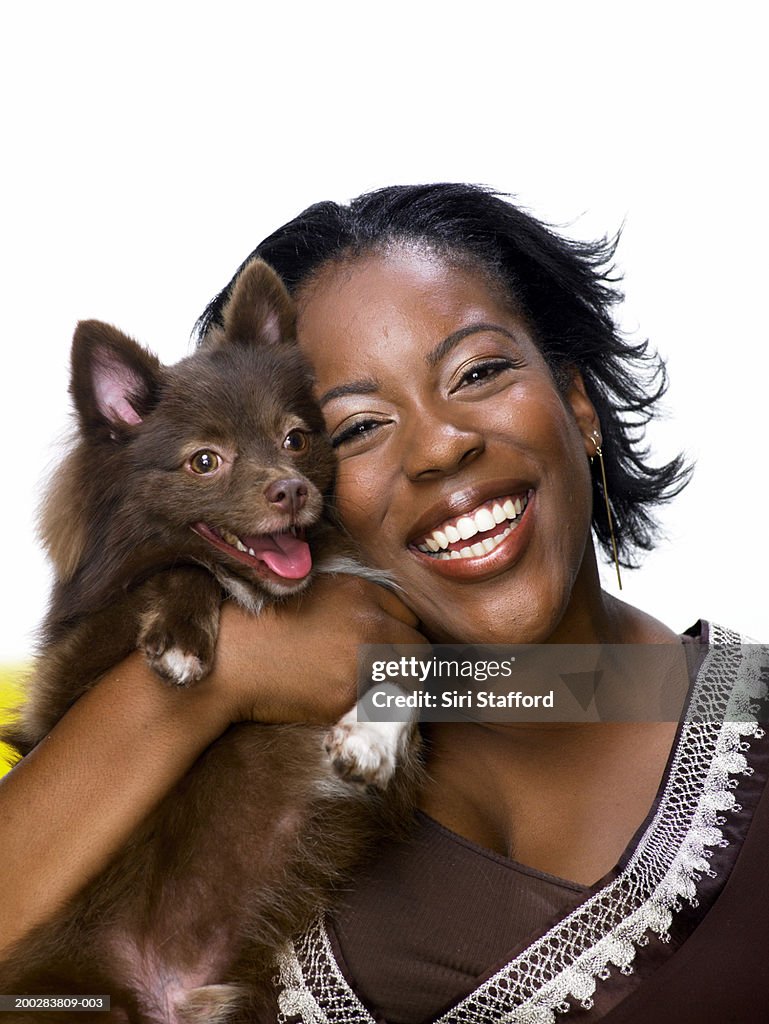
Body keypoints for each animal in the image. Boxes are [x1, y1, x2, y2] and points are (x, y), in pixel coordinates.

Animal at [0, 262, 421, 1024]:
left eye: (296, 439)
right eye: (204, 461)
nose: (290, 490)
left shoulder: (396, 619)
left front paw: (369, 742)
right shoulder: (59, 699)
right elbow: (182, 566)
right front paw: (182, 642)